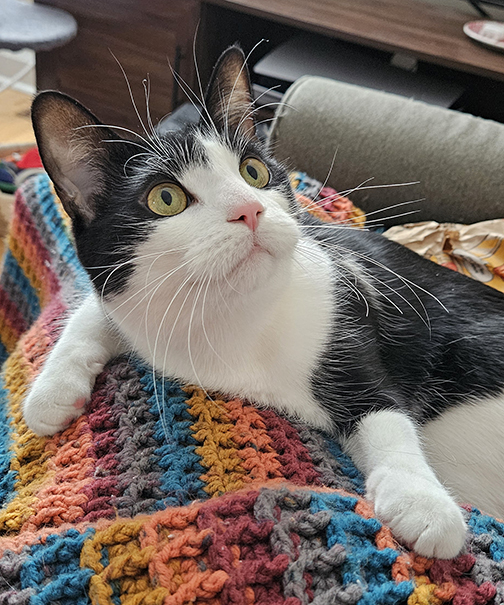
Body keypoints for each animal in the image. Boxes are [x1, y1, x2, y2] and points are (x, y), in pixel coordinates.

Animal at [24, 45, 504, 560]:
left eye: (253, 171)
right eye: (166, 197)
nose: (249, 209)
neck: (237, 319)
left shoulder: (349, 308)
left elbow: (384, 414)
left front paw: (420, 500)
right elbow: (99, 310)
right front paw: (52, 390)